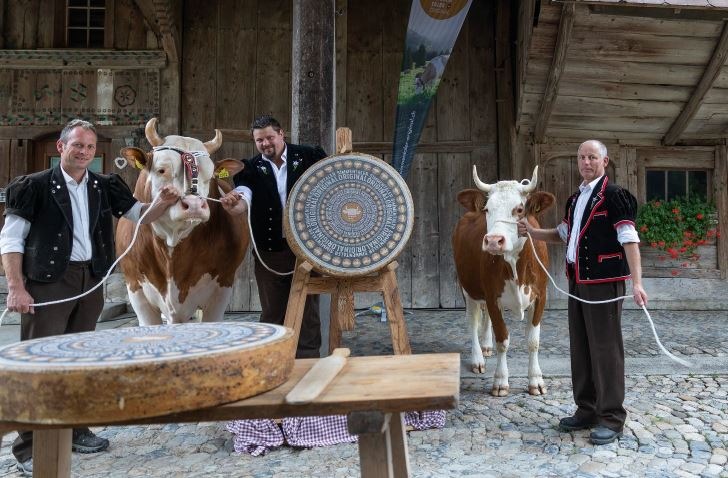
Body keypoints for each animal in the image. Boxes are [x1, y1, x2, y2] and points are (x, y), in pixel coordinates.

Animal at [452, 166, 556, 398]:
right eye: (487, 209)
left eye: (519, 209)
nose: (493, 241)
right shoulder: (492, 297)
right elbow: (503, 339)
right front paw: (500, 381)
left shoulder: (541, 296)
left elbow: (533, 341)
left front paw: (536, 380)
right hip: (467, 287)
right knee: (472, 321)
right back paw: (478, 358)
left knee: (485, 320)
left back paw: (486, 346)